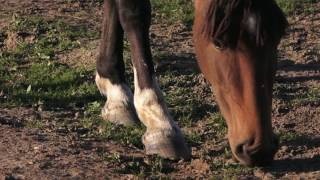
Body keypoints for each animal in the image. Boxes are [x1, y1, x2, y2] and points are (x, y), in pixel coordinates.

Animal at [94, 0, 288, 166]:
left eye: (278, 36)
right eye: (218, 42)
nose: (259, 149)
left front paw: (114, 87)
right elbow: (134, 14)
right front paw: (160, 123)